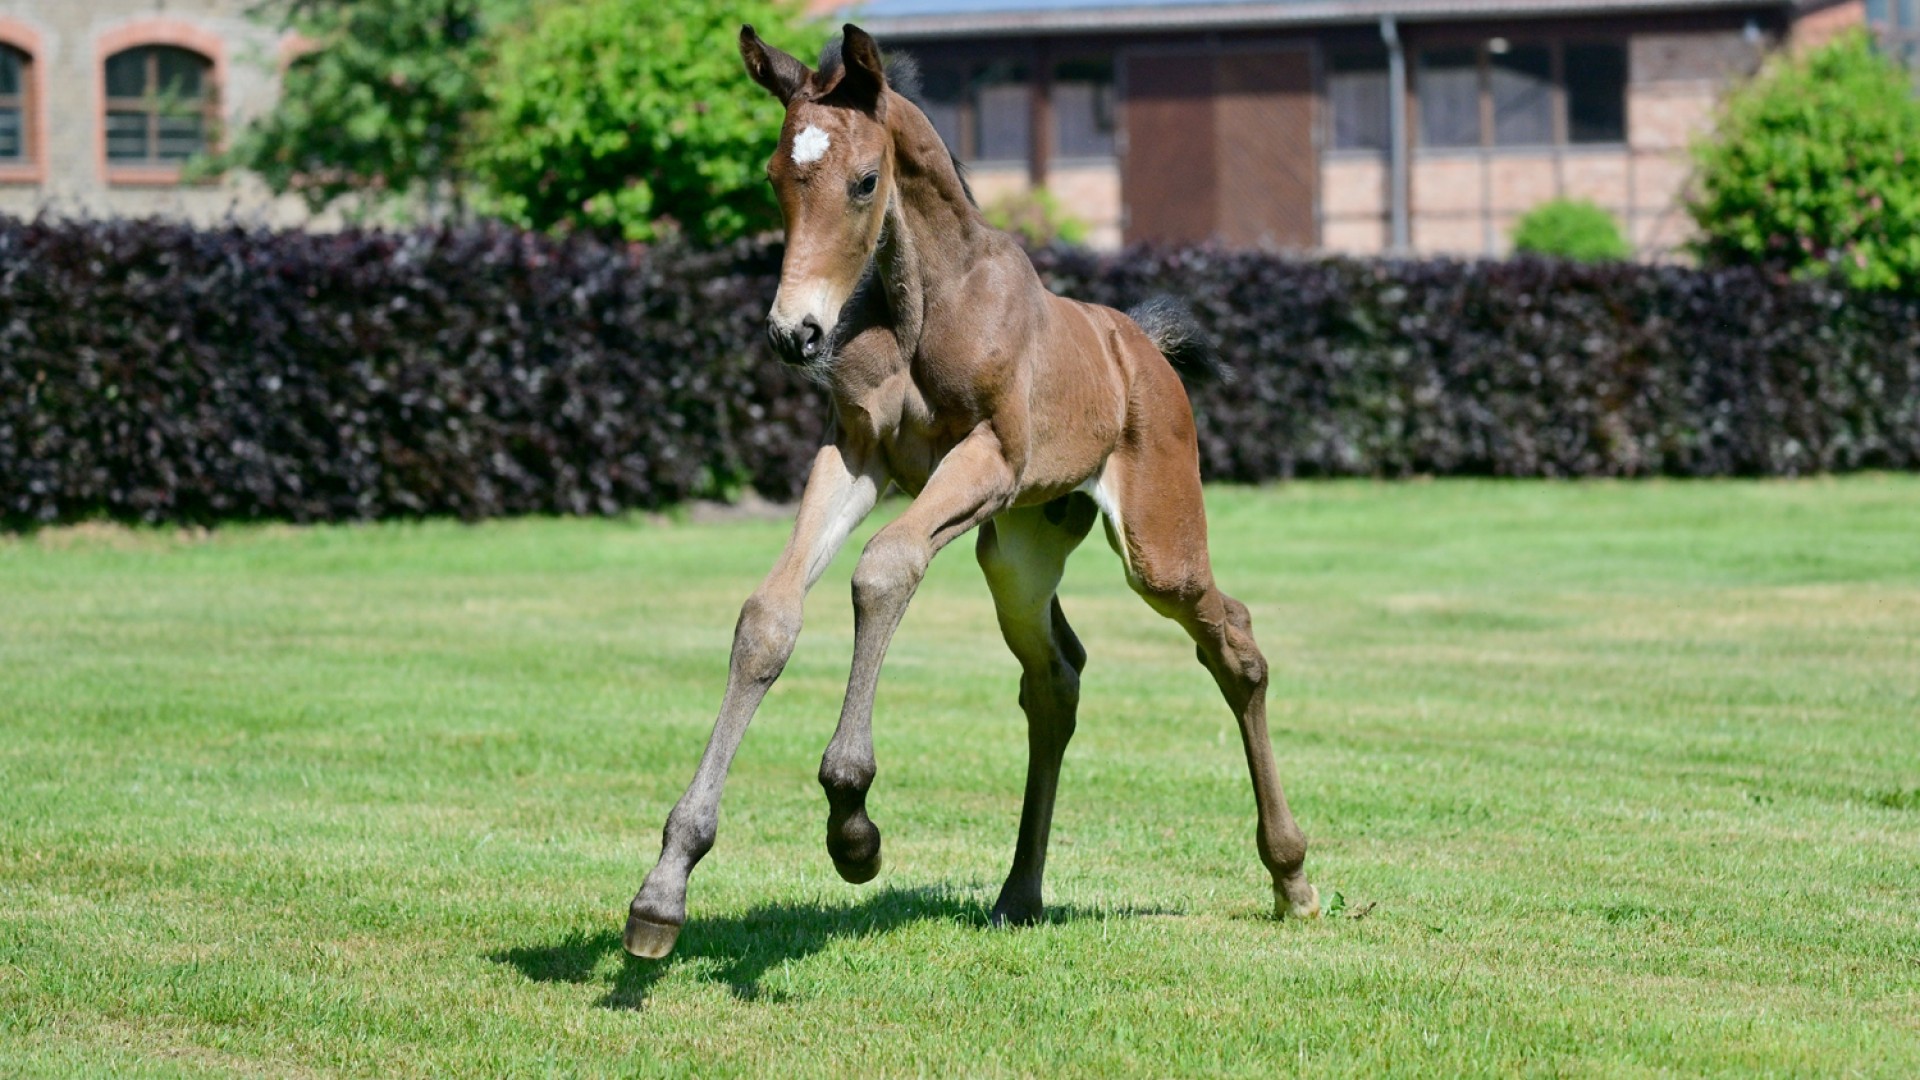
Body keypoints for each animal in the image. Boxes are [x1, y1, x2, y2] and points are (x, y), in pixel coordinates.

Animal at [625, 21, 1320, 953]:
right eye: (775, 176)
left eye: (865, 180)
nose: (794, 334)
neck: (928, 302)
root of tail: (1144, 348)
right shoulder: (855, 454)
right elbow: (768, 617)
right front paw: (665, 886)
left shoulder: (988, 459)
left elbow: (884, 569)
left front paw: (853, 824)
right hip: (1017, 551)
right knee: (1055, 678)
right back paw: (1019, 893)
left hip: (1156, 544)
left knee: (1232, 642)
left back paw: (1292, 877)